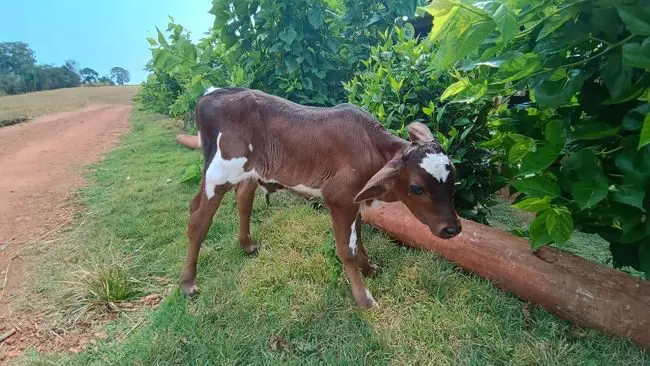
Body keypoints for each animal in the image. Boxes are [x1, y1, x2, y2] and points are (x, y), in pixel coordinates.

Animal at [180, 87, 458, 308]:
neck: (371, 148)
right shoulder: (339, 199)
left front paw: (369, 268)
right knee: (198, 220)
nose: (453, 228)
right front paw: (364, 299)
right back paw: (187, 283)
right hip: (219, 173)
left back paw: (246, 245)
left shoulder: (353, 201)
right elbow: (346, 249)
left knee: (239, 200)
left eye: (453, 177)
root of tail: (211, 94)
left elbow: (359, 239)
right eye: (417, 188)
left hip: (246, 173)